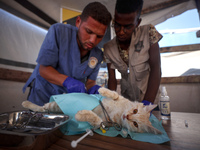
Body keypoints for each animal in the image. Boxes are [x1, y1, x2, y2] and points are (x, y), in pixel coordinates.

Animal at [21, 87, 162, 134]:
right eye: (135, 111)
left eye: (136, 124)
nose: (127, 117)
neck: (120, 111)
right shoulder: (118, 98)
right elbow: (115, 94)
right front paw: (102, 89)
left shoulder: (104, 123)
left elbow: (96, 119)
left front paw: (80, 114)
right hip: (54, 105)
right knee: (42, 107)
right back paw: (26, 103)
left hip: (55, 108)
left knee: (43, 108)